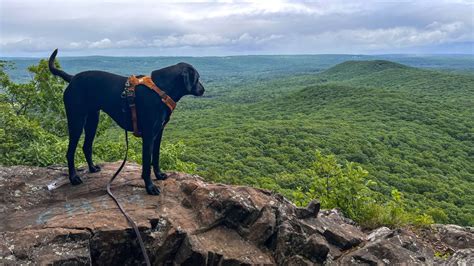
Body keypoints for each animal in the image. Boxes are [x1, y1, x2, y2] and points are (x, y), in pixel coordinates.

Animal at [48, 49, 204, 195]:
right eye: (197, 78)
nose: (203, 90)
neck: (161, 90)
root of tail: (73, 78)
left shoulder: (158, 133)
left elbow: (156, 157)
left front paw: (159, 175)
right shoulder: (148, 135)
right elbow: (146, 164)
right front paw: (150, 187)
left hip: (92, 120)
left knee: (86, 146)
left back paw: (92, 168)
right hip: (76, 121)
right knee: (70, 152)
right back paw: (73, 178)